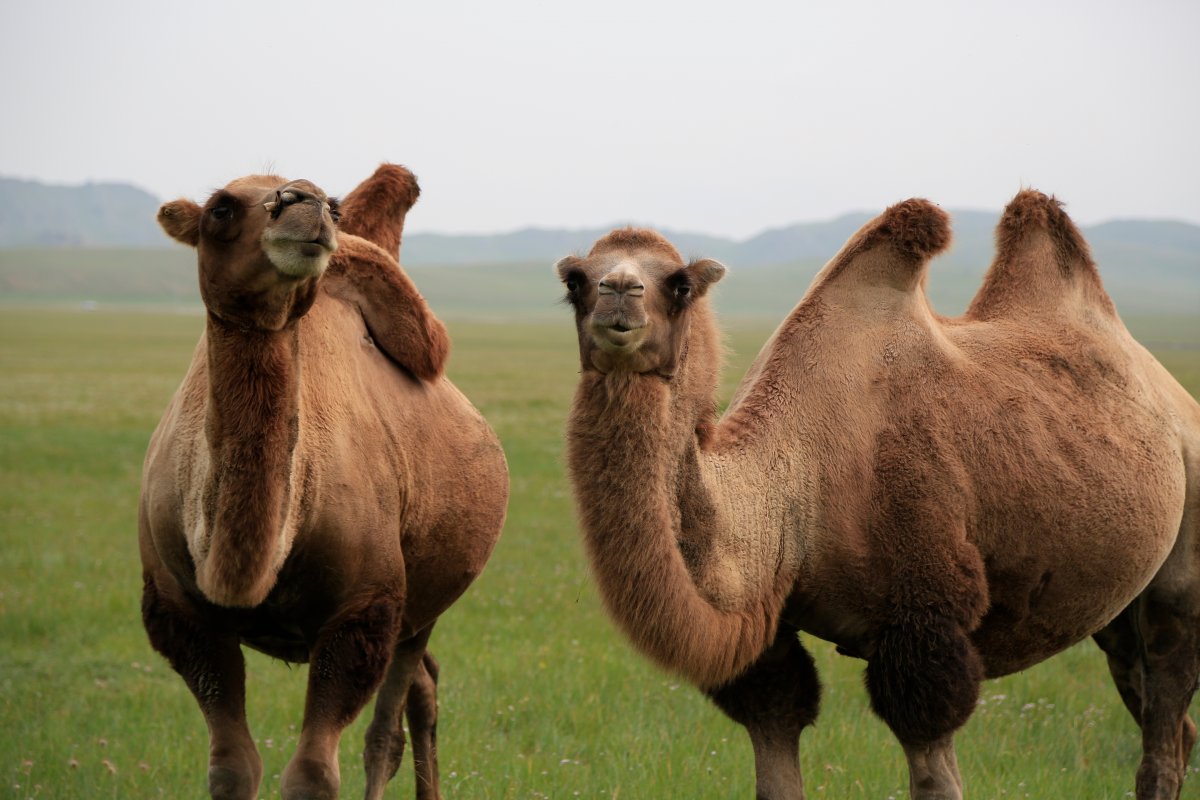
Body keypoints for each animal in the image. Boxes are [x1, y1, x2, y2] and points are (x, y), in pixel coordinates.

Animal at [139, 164, 508, 800]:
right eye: (219, 209)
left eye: (331, 207)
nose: (305, 203)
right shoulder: (180, 615)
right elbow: (232, 766)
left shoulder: (365, 611)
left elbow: (313, 773)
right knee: (424, 685)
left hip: (425, 598)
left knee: (390, 724)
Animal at [555, 191, 1200, 800]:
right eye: (575, 281)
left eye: (680, 284)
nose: (618, 292)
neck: (795, 487)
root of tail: (1174, 397)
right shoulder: (769, 641)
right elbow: (776, 738)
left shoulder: (924, 620)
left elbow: (937, 778)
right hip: (1113, 607)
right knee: (1165, 715)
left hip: (1180, 565)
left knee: (1165, 717)